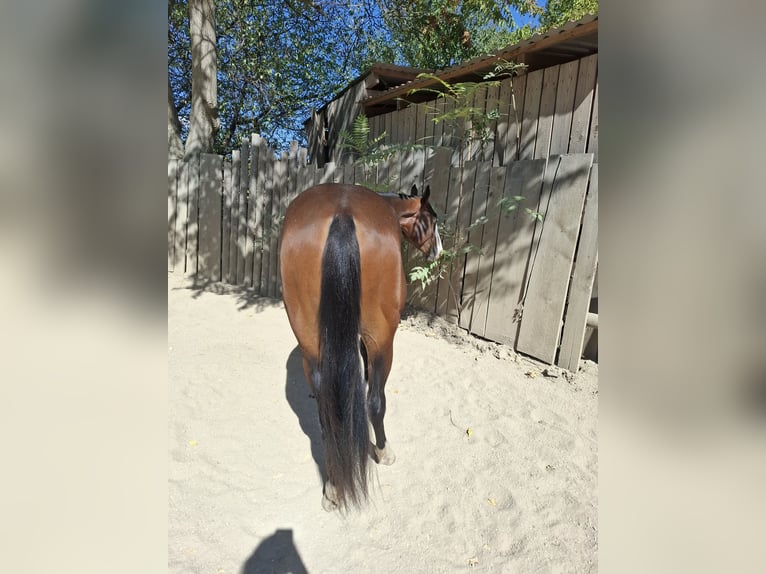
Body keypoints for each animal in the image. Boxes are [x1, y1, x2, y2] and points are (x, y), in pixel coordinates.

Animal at [279, 182, 442, 511]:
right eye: (432, 220)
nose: (438, 251)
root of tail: (342, 213)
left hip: (309, 342)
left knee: (327, 414)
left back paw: (333, 486)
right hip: (382, 339)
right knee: (375, 400)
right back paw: (382, 450)